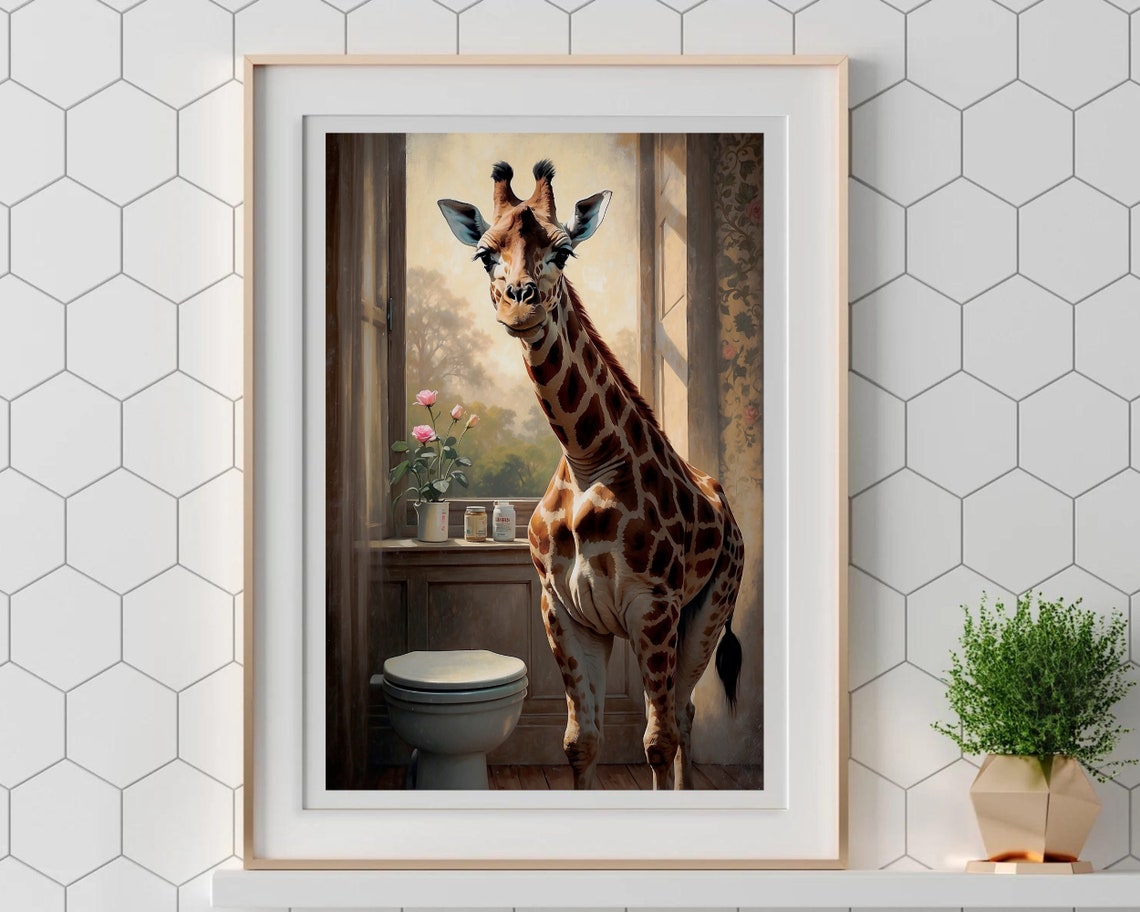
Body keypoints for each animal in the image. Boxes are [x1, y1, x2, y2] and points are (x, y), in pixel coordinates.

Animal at [438, 160, 746, 790]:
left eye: (563, 251)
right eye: (484, 254)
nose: (520, 305)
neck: (586, 461)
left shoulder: (653, 609)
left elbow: (654, 742)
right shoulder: (565, 614)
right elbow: (581, 742)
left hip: (709, 609)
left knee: (680, 715)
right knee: (684, 712)